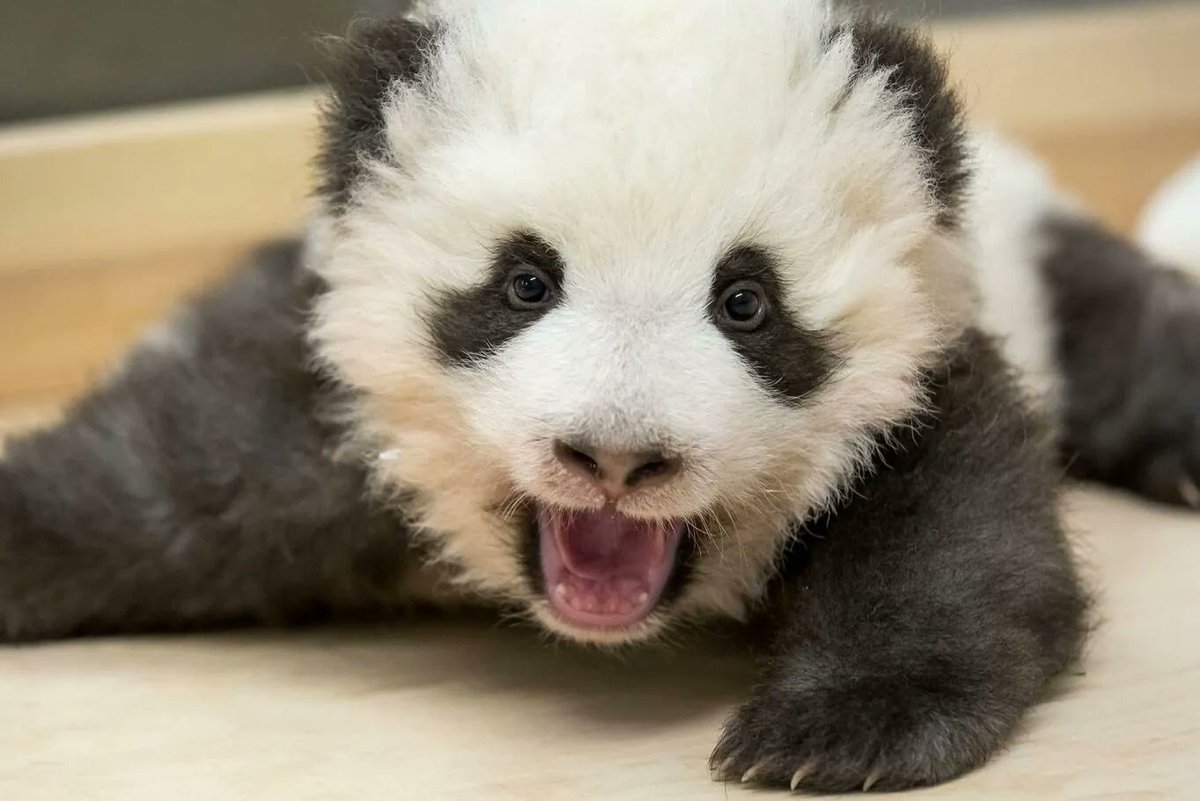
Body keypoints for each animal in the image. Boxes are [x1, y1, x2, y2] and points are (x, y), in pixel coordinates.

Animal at [3, 0, 1198, 793]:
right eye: (524, 282)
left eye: (746, 300)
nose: (616, 459)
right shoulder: (332, 405)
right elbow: (161, 480)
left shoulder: (921, 374)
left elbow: (959, 546)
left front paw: (838, 728)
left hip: (1046, 265)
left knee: (1135, 332)